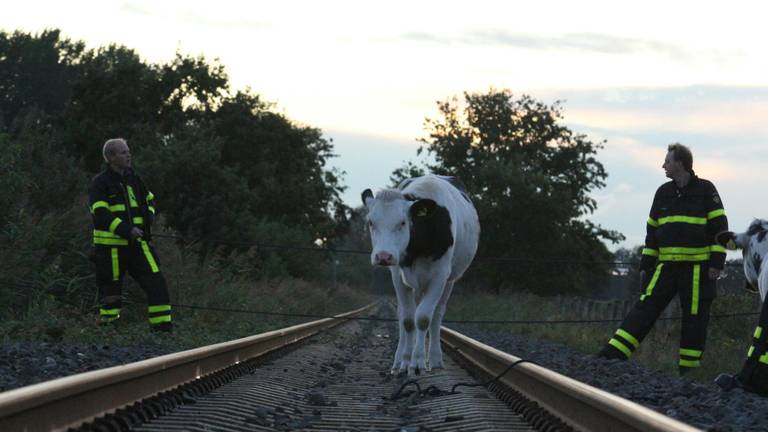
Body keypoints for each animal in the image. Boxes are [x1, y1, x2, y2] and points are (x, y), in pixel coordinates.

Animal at [361, 174, 480, 376]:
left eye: (402, 222)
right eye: (371, 222)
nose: (383, 256)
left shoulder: (441, 275)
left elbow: (423, 318)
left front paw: (417, 362)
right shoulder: (397, 275)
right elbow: (408, 320)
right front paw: (405, 362)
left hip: (450, 280)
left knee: (436, 315)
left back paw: (435, 359)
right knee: (403, 314)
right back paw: (398, 361)